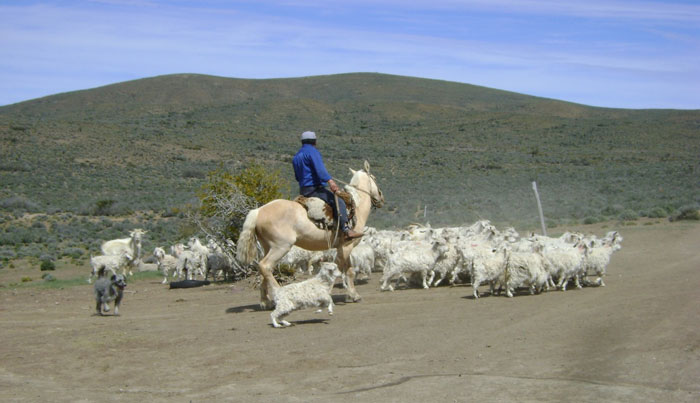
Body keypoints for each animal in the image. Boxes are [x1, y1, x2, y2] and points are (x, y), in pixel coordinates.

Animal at [238, 160, 386, 310]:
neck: (356, 206)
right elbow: (344, 270)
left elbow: (346, 269)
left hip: (268, 247)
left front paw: (352, 295)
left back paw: (265, 302)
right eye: (374, 178)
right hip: (281, 247)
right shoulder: (346, 246)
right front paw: (341, 294)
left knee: (262, 268)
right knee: (265, 266)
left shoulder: (342, 247)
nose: (381, 197)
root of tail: (258, 211)